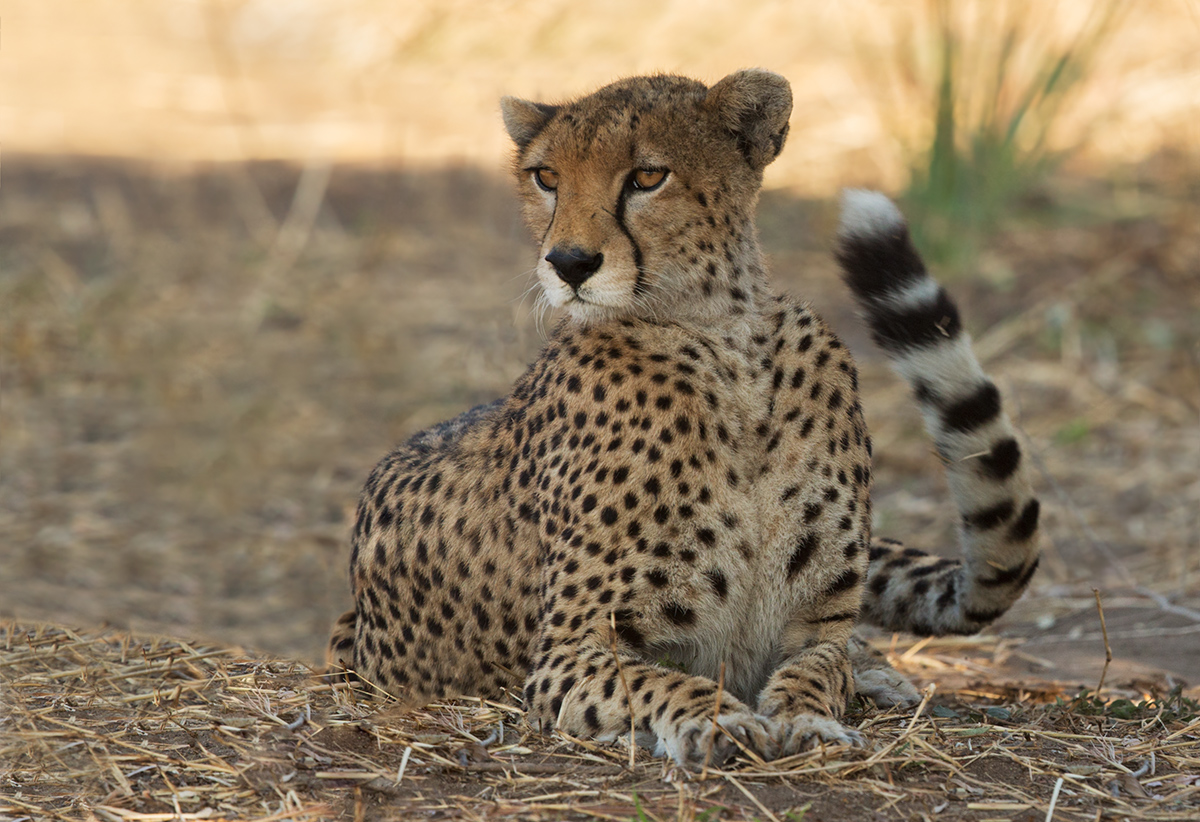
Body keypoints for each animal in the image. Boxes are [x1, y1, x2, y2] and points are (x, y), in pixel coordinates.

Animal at [327, 70, 1041, 767]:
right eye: (546, 177)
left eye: (647, 177)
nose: (569, 263)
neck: (723, 338)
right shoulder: (569, 649)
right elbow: (660, 680)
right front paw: (720, 719)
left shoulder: (814, 624)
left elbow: (819, 668)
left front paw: (808, 719)